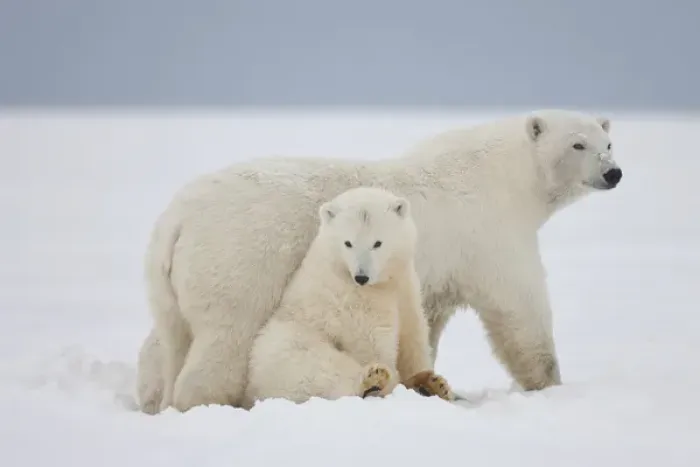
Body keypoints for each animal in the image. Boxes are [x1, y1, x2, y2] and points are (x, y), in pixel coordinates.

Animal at [243, 187, 453, 408]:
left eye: (377, 243)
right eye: (348, 243)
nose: (361, 276)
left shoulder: (405, 286)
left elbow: (413, 337)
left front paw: (431, 381)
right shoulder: (355, 302)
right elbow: (373, 342)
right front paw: (392, 380)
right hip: (288, 347)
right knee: (320, 368)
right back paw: (372, 380)